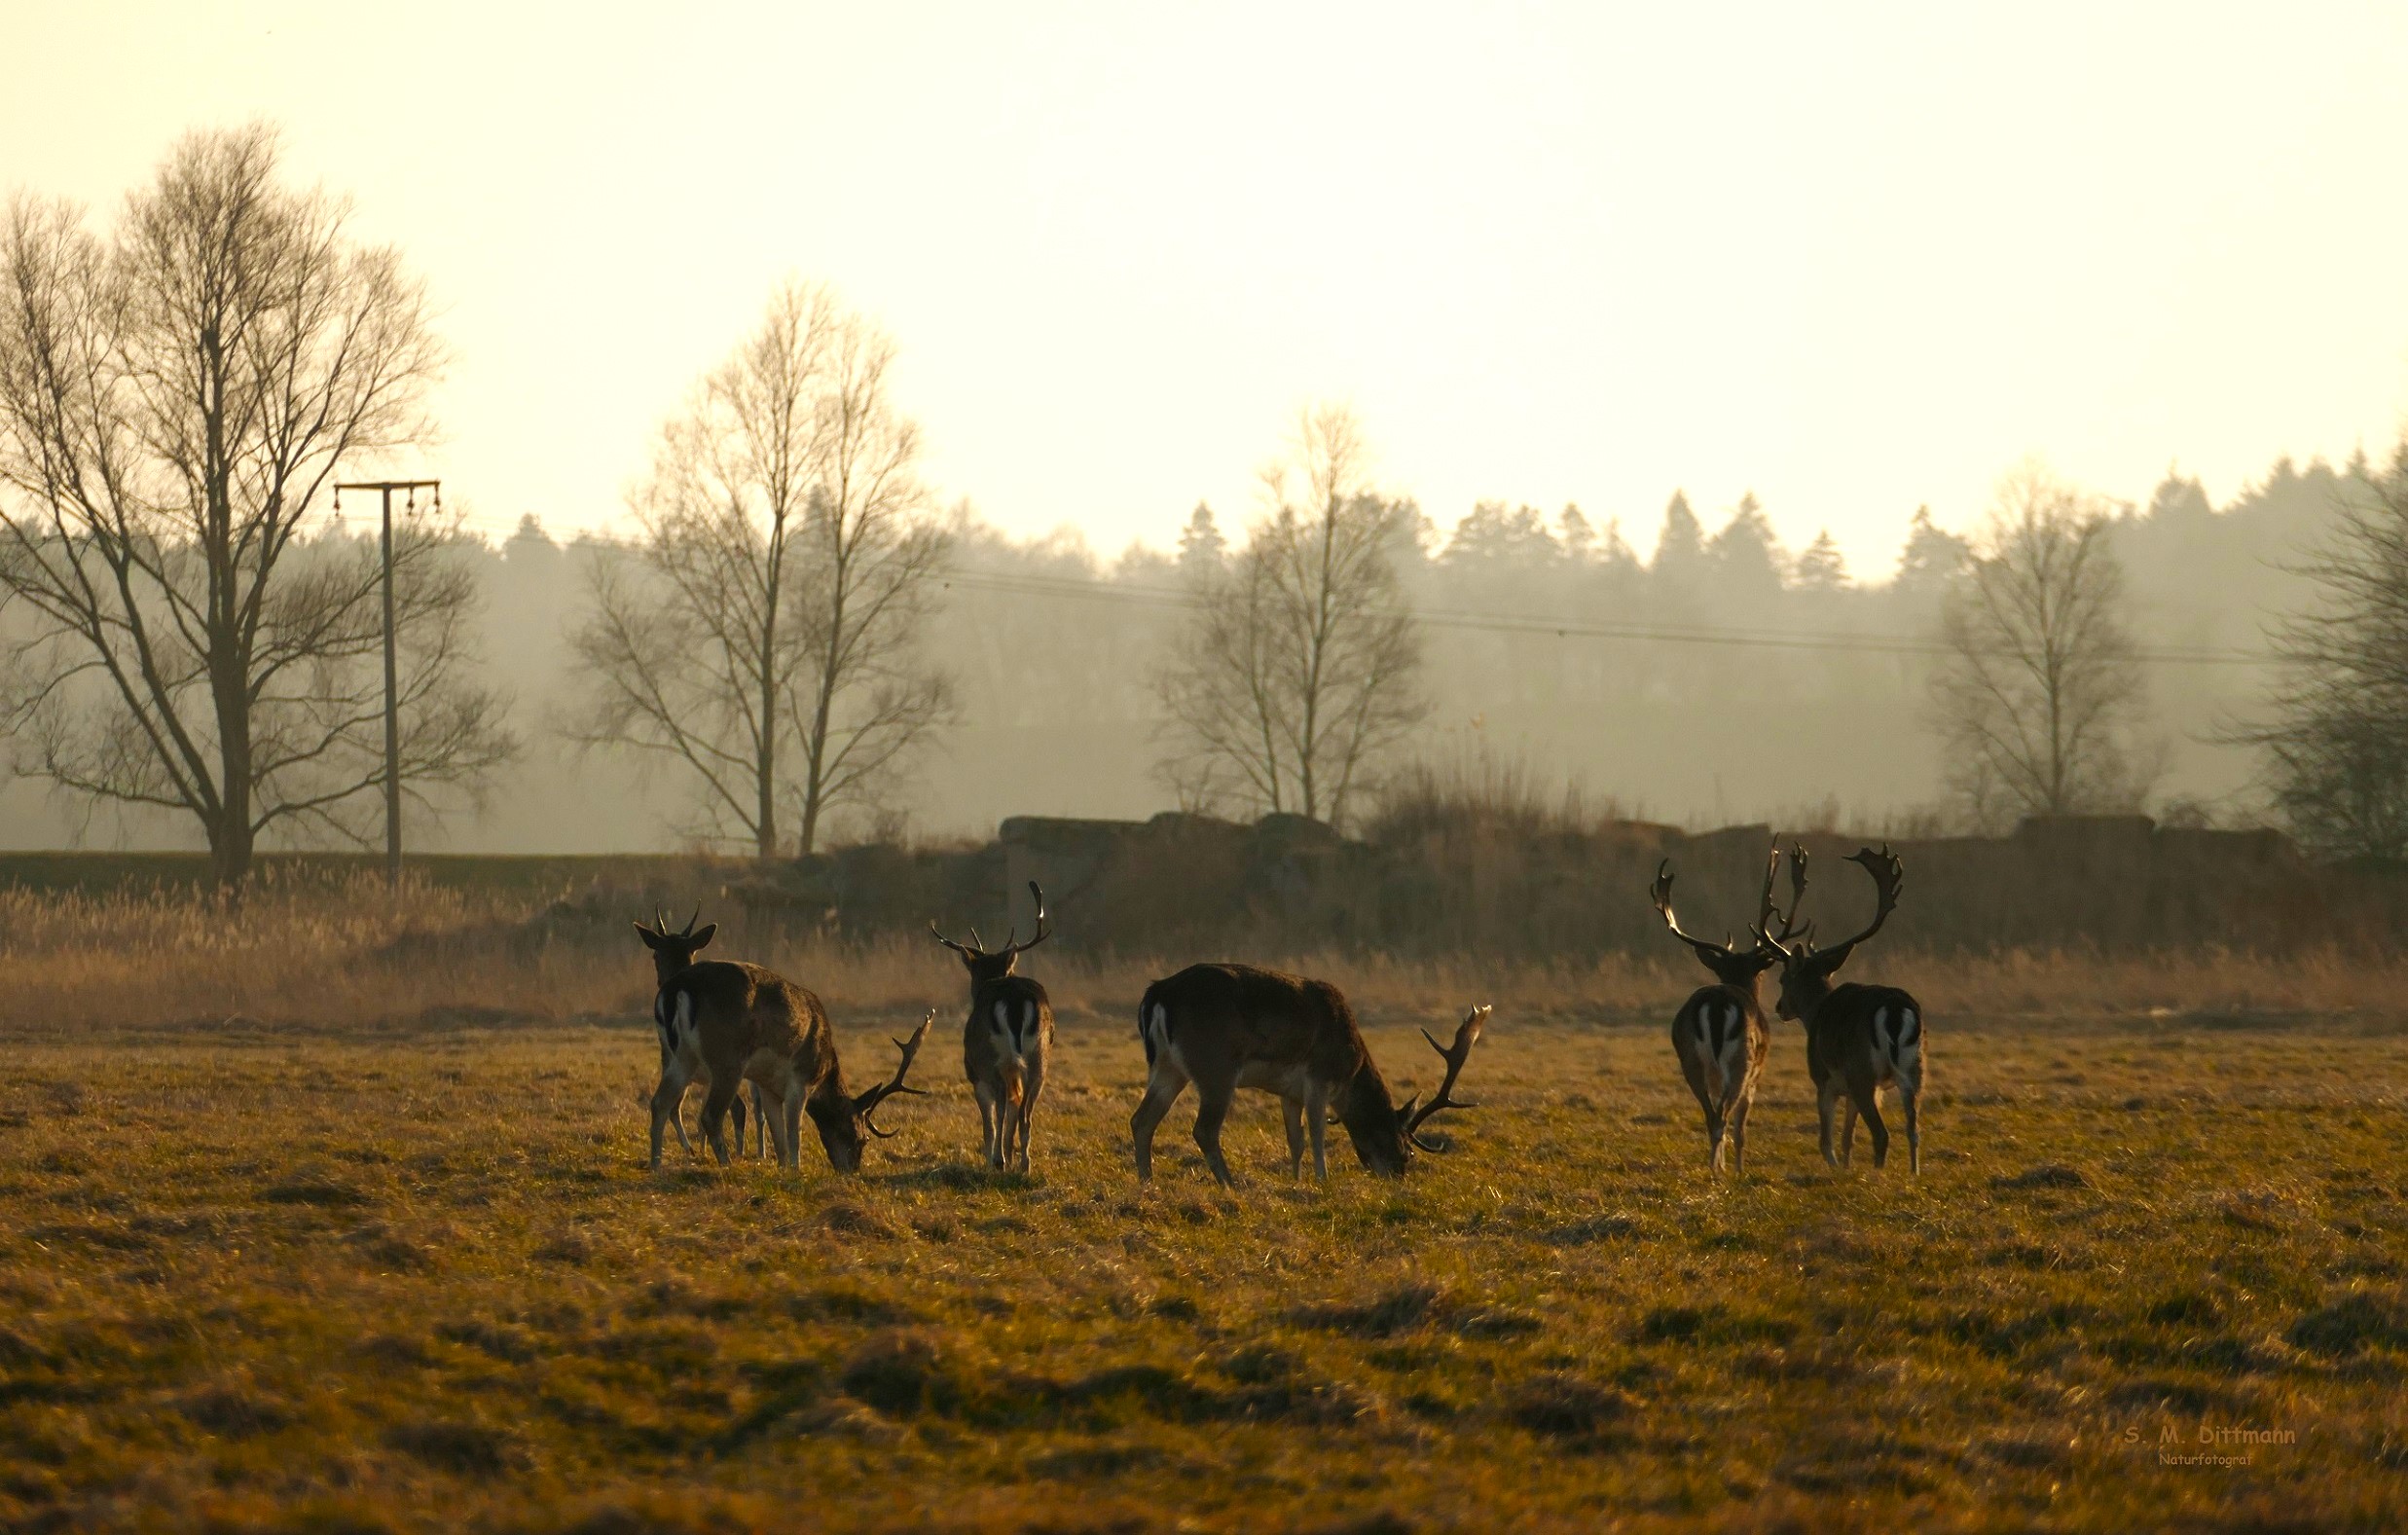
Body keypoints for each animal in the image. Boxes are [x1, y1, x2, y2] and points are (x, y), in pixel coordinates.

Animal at [631, 905, 929, 1166]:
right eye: (862, 1137)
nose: (852, 1168)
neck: (825, 1063)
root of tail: (678, 987)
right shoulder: (801, 1078)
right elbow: (793, 1132)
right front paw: (796, 1168)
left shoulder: (768, 1085)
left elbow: (777, 1133)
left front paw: (782, 1166)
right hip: (726, 1058)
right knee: (711, 1115)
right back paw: (725, 1164)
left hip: (678, 1057)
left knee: (660, 1103)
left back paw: (657, 1165)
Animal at [929, 882, 1054, 1166]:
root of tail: (1016, 1000)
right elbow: (1015, 1107)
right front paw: (1009, 1153)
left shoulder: (974, 1071)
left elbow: (989, 1120)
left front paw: (994, 1156)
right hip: (1039, 1058)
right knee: (1025, 1111)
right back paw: (1024, 1163)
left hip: (989, 1059)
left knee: (1001, 1106)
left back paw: (998, 1161)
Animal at [1131, 964, 1482, 1189]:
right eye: (1407, 1150)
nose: (1397, 1175)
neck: (1351, 1068)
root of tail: (1157, 993)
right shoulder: (1319, 1076)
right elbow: (1316, 1131)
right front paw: (1323, 1180)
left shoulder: (1289, 1092)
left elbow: (1295, 1138)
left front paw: (1297, 1181)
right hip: (1216, 1066)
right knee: (1203, 1129)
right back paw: (1230, 1184)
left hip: (1168, 1067)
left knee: (1142, 1119)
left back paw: (1148, 1182)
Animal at [1637, 848, 1810, 1171]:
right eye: (1761, 973)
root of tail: (1717, 1005)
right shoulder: (1755, 1075)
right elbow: (1741, 1125)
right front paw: (1739, 1168)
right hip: (1742, 1060)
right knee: (1722, 1117)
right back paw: (1720, 1171)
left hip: (1691, 1060)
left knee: (1711, 1115)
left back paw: (1714, 1167)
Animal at [1743, 843, 1926, 1166]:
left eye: (1783, 979)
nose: (1779, 1007)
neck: (1817, 1011)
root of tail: (1894, 1010)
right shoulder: (1854, 1090)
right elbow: (1847, 1138)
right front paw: (1848, 1167)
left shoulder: (1824, 1078)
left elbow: (1827, 1140)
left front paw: (1837, 1168)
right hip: (1914, 1069)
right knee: (1914, 1130)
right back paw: (1911, 1174)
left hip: (1862, 1071)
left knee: (1882, 1133)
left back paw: (1879, 1175)